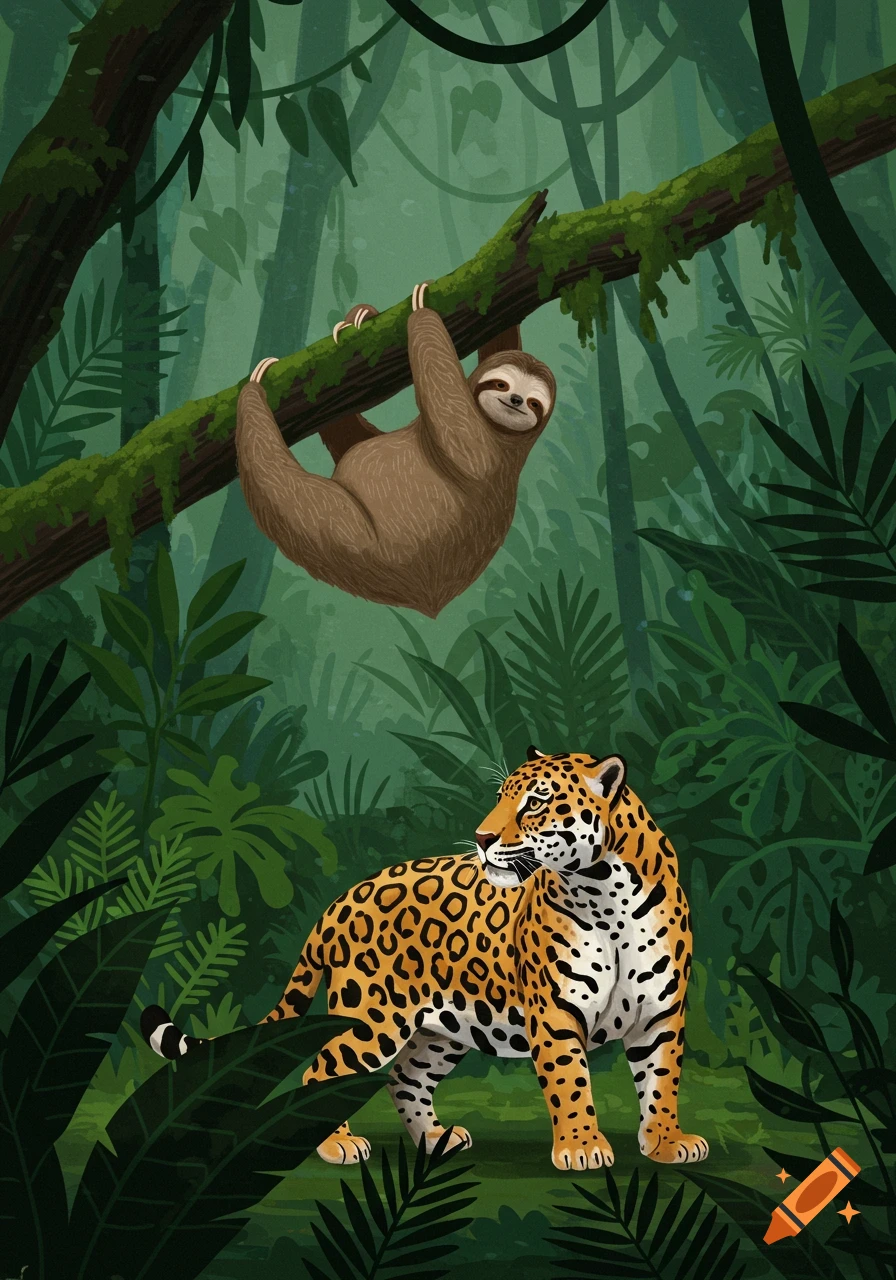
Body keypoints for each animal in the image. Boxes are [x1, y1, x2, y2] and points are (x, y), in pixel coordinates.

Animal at [141, 749, 708, 1171]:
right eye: (500, 799)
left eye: (535, 803)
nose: (481, 838)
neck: (605, 893)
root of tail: (339, 901)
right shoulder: (555, 1012)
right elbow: (570, 1081)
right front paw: (582, 1148)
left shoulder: (661, 1012)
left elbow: (661, 1081)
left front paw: (665, 1143)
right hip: (372, 1019)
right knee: (323, 1069)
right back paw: (335, 1145)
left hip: (441, 1028)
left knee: (404, 1079)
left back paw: (436, 1139)